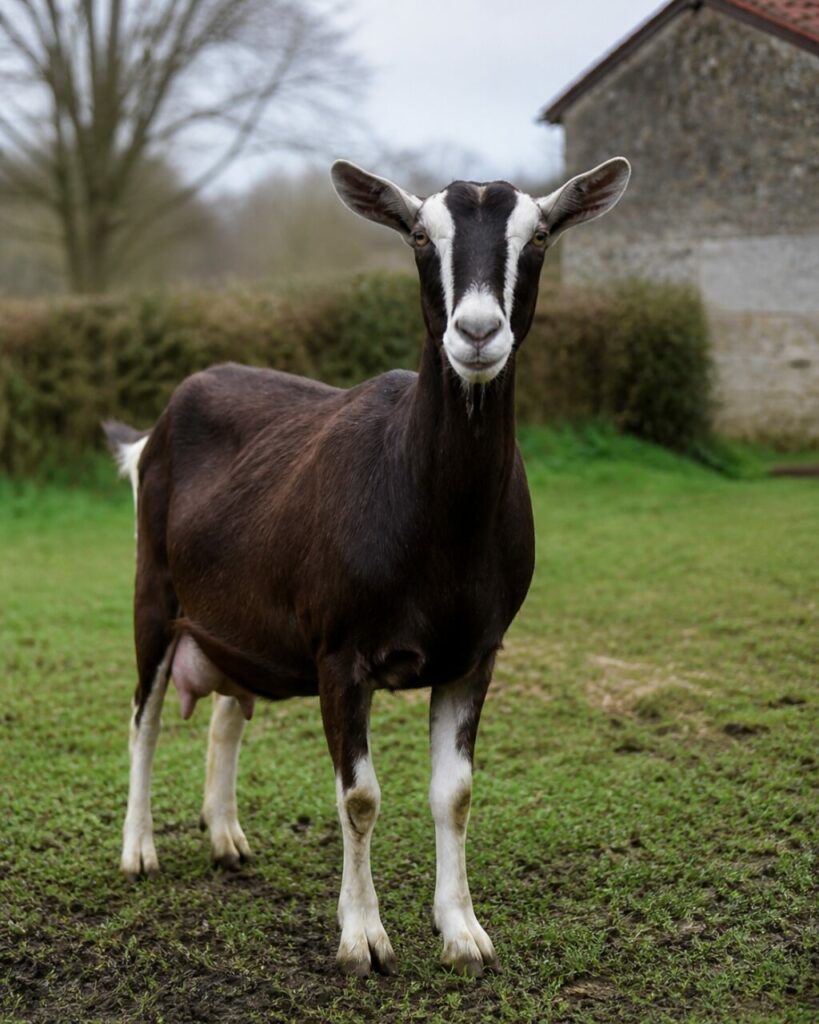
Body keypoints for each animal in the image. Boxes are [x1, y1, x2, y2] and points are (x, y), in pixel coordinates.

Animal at [105, 155, 630, 978]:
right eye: (418, 235)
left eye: (540, 235)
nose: (477, 332)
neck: (434, 521)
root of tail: (156, 428)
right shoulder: (339, 653)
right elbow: (358, 798)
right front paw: (361, 940)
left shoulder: (474, 654)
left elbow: (455, 794)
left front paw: (462, 932)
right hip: (153, 592)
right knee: (144, 718)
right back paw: (139, 850)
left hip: (243, 617)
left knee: (227, 711)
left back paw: (225, 837)